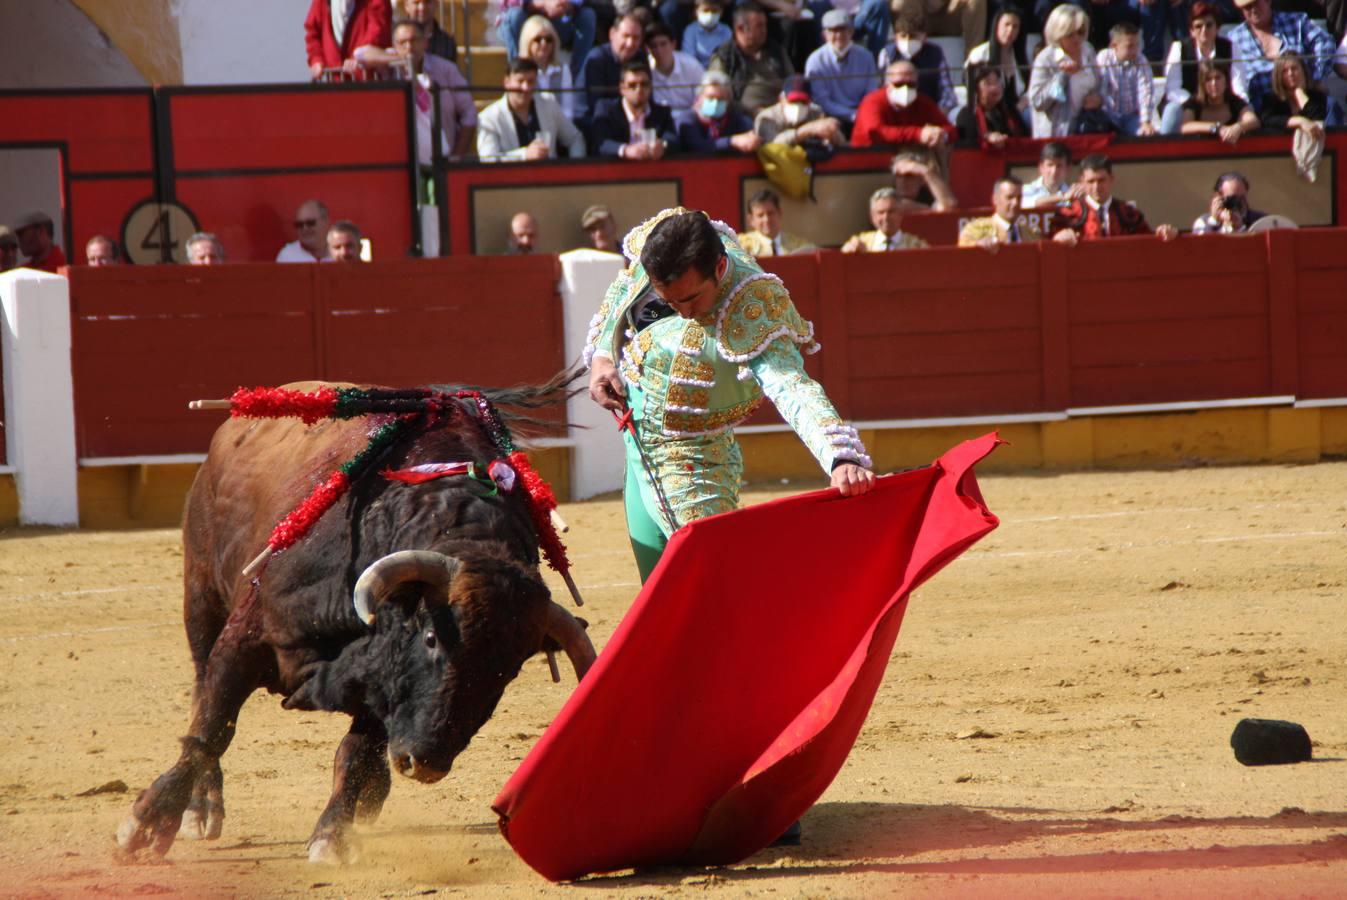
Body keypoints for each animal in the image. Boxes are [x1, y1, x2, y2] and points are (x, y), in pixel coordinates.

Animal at [117, 377, 595, 862]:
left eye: (508, 671)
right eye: (430, 638)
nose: (425, 764)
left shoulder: (384, 679)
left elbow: (356, 753)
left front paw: (332, 836)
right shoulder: (245, 640)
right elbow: (212, 728)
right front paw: (147, 824)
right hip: (201, 596)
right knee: (200, 692)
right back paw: (201, 808)